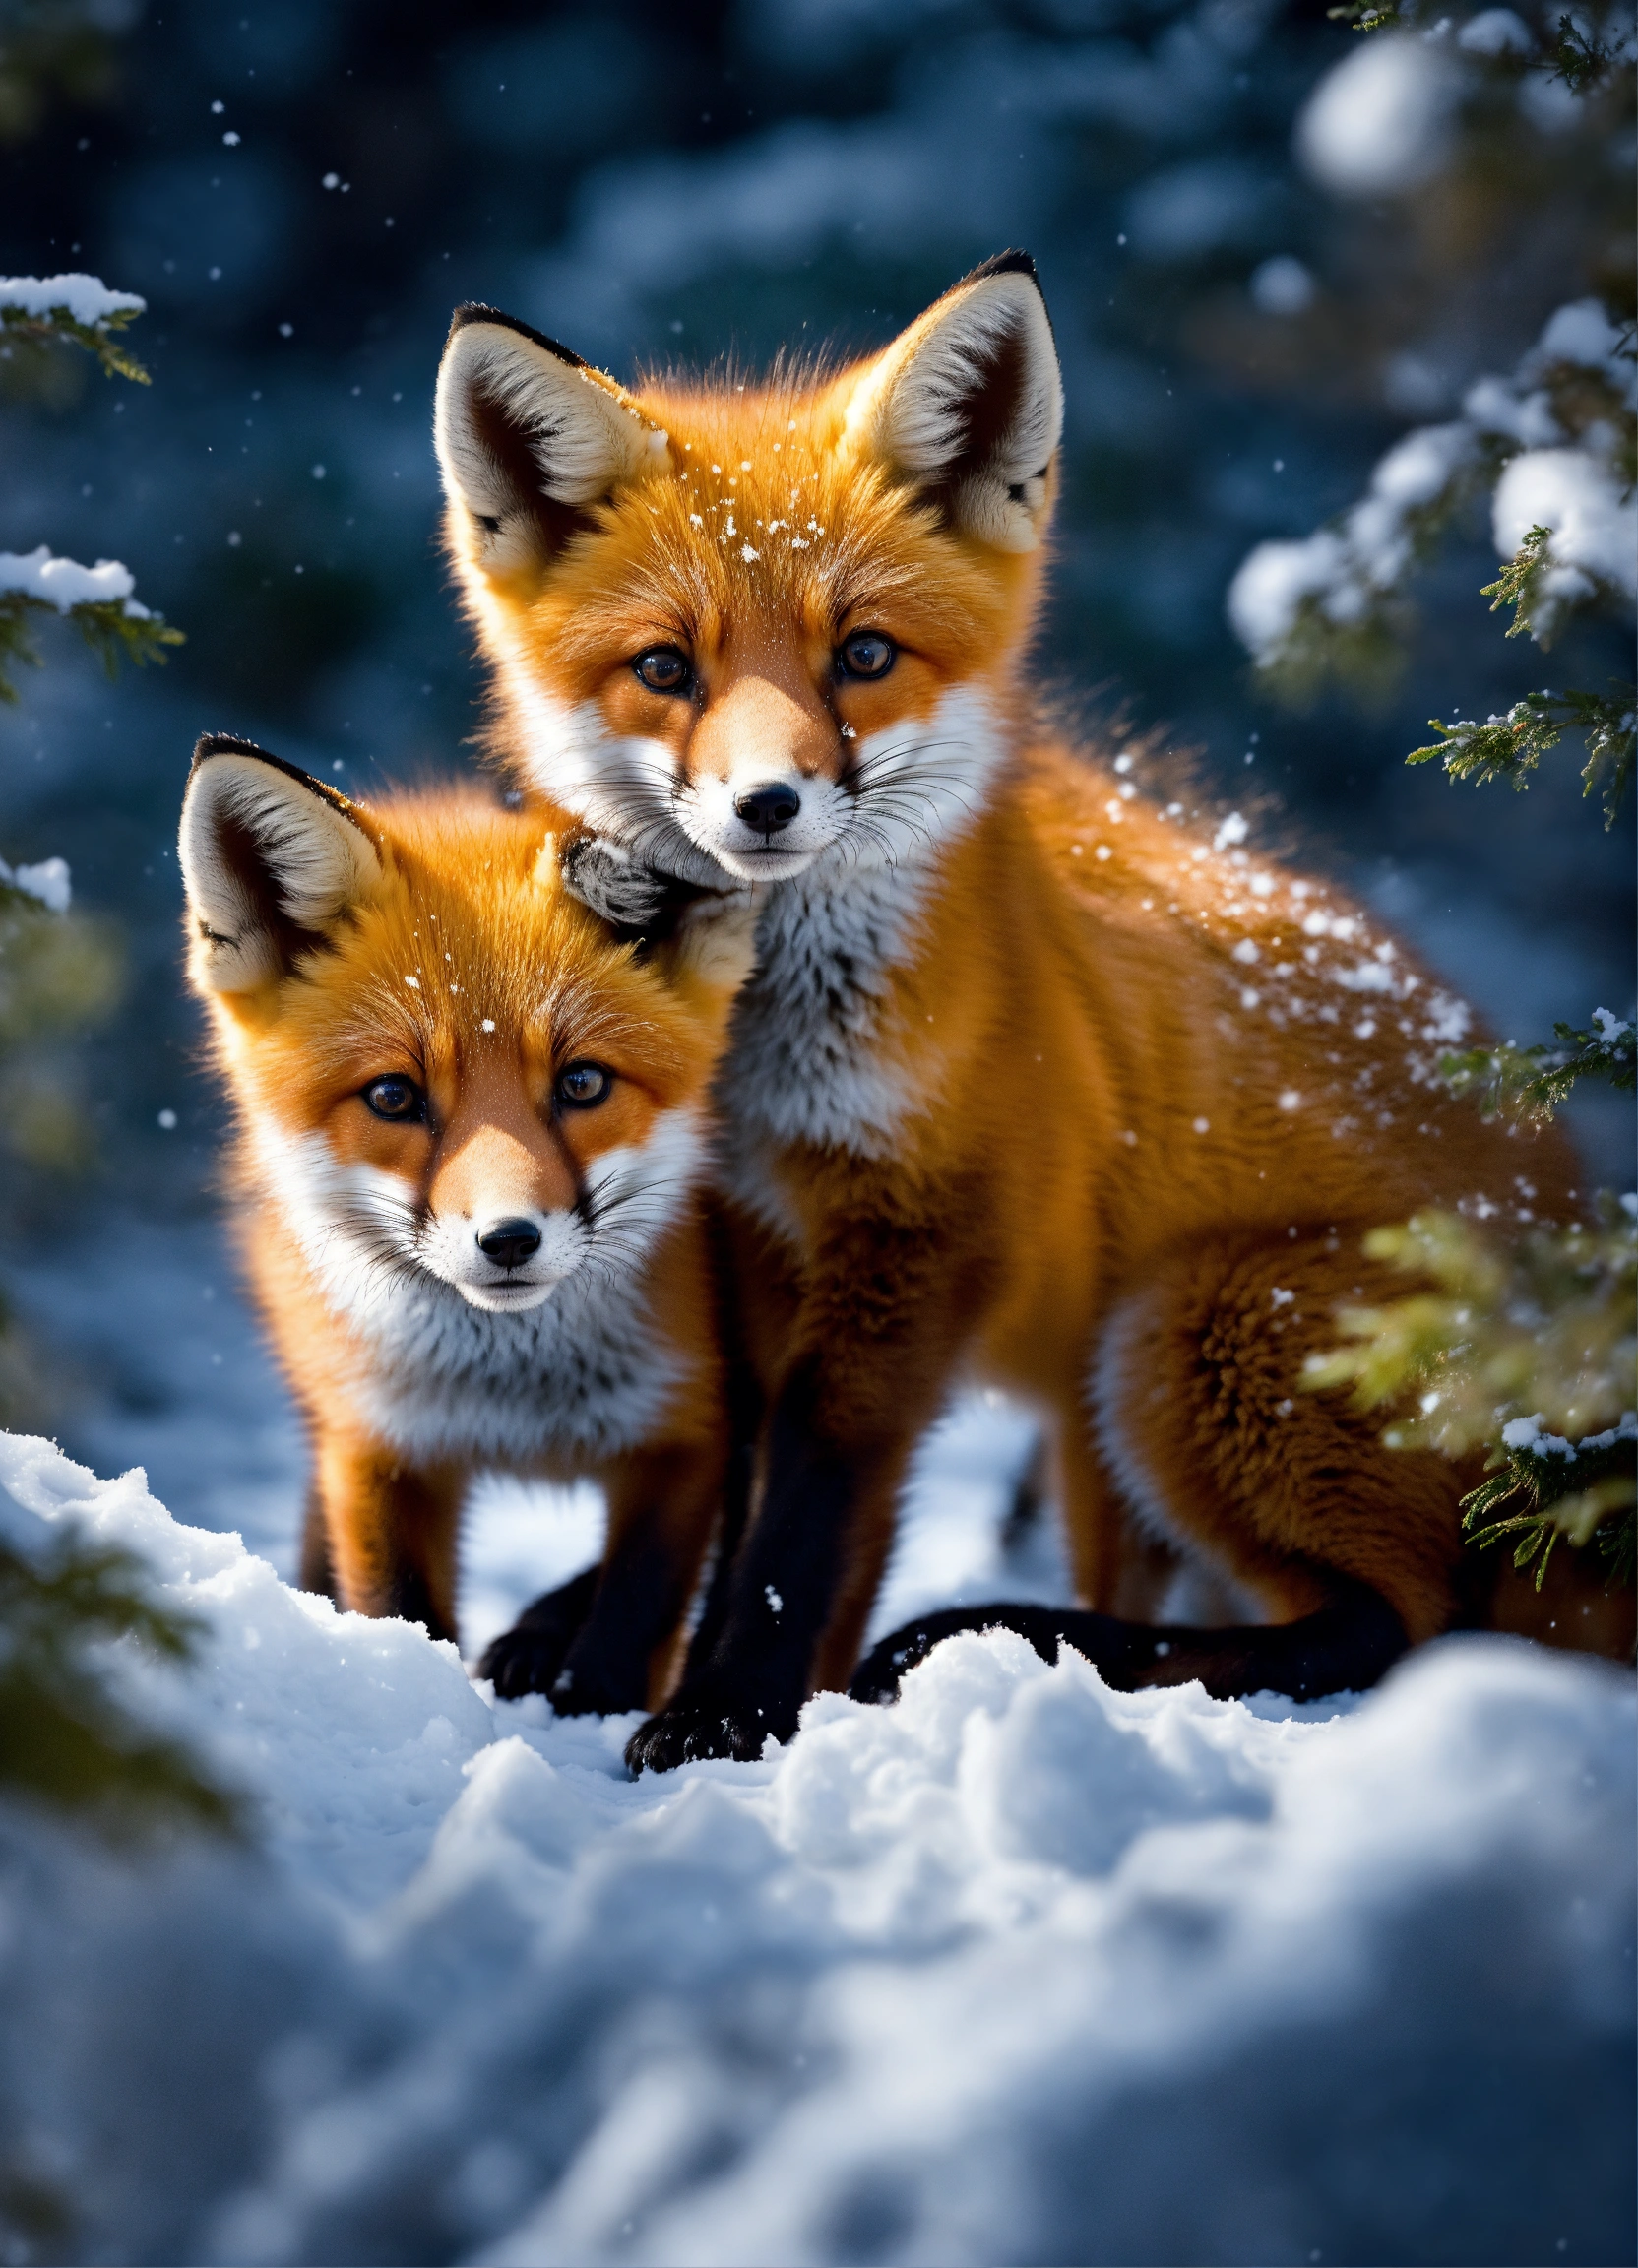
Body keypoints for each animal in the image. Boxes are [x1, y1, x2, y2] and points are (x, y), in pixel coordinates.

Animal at [177, 733, 759, 1713]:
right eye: (393, 1097)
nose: (510, 1240)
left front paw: (589, 1714)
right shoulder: (379, 1448)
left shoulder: (688, 1435)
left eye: (582, 1083)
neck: (510, 1397)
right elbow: (399, 1612)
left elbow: (628, 1624)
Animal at [431, 252, 1633, 1768]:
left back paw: (1016, 1643)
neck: (763, 1073)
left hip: (1185, 1327)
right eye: (664, 669)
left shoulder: (920, 1238)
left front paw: (724, 1712)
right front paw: (644, 1655)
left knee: (1390, 1625)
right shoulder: (745, 1243)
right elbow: (740, 1484)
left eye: (862, 655)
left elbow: (800, 1523)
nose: (766, 805)